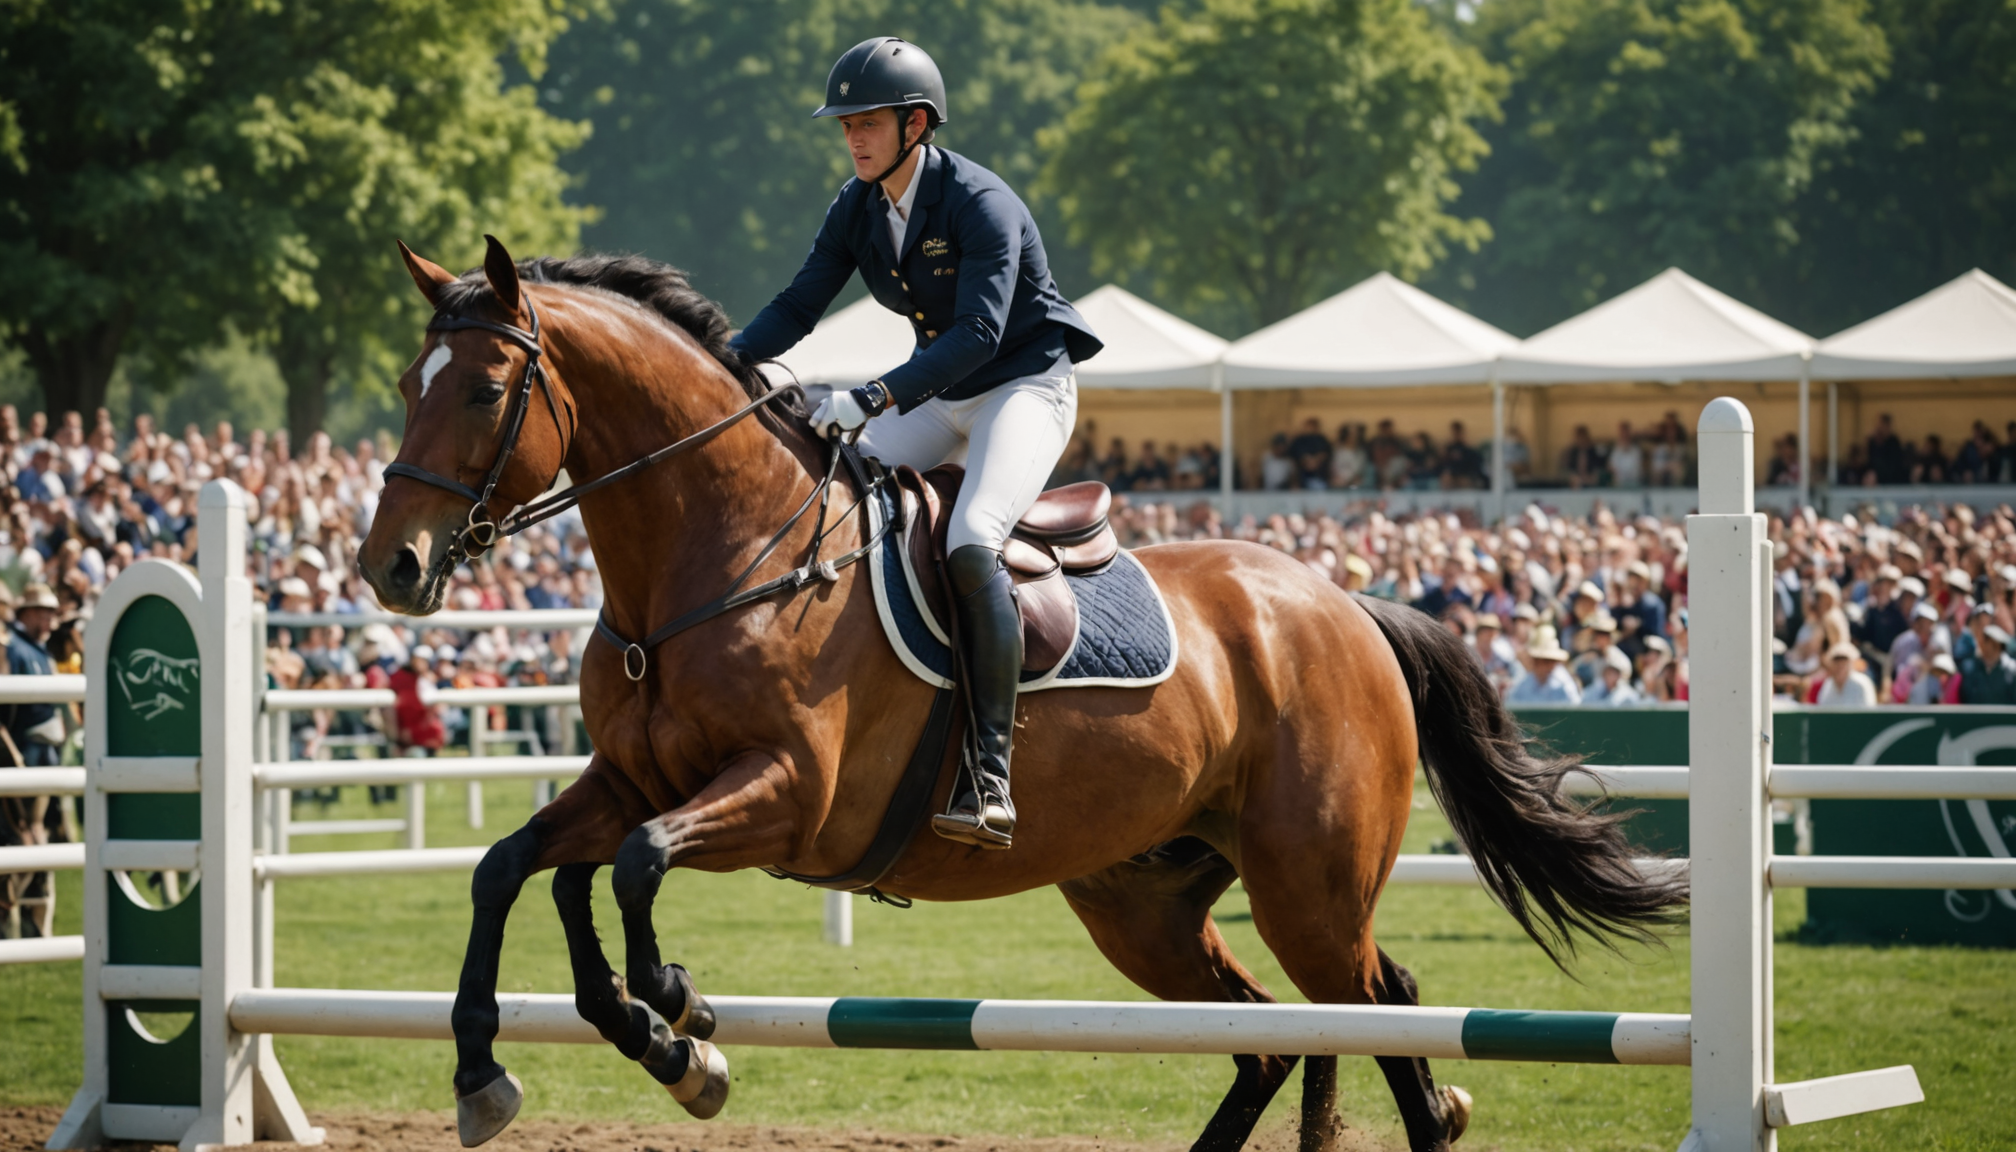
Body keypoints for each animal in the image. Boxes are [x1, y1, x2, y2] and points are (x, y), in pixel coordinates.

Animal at [358, 237, 1687, 1152]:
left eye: (483, 392)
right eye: (409, 384)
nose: (392, 568)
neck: (713, 559)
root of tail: (1342, 603)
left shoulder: (789, 798)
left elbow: (631, 868)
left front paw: (675, 1020)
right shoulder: (630, 778)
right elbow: (518, 869)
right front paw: (497, 1070)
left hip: (1307, 887)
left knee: (1385, 1010)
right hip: (1144, 903)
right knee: (1269, 1037)